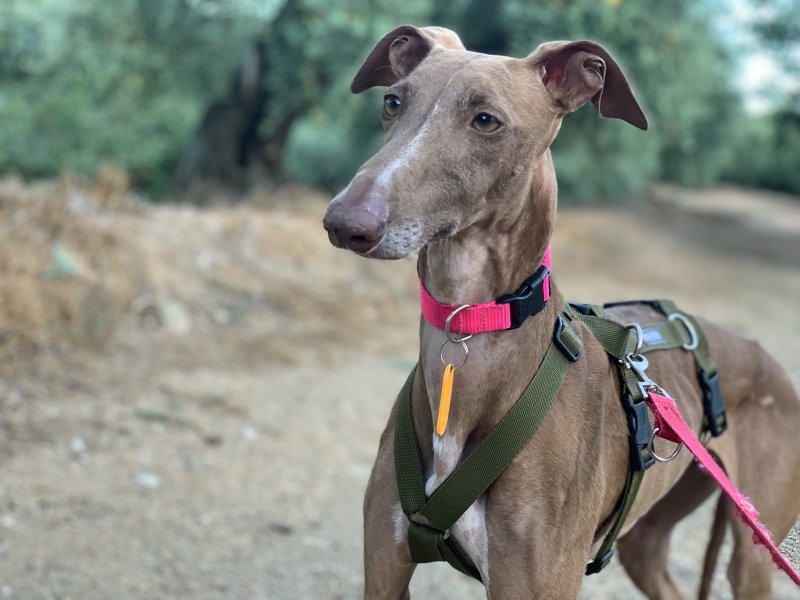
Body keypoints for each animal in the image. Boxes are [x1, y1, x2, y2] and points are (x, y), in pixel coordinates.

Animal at [320, 25, 800, 596]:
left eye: (486, 120)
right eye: (393, 102)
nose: (345, 223)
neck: (473, 325)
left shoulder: (533, 580)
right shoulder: (386, 565)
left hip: (753, 556)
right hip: (647, 542)